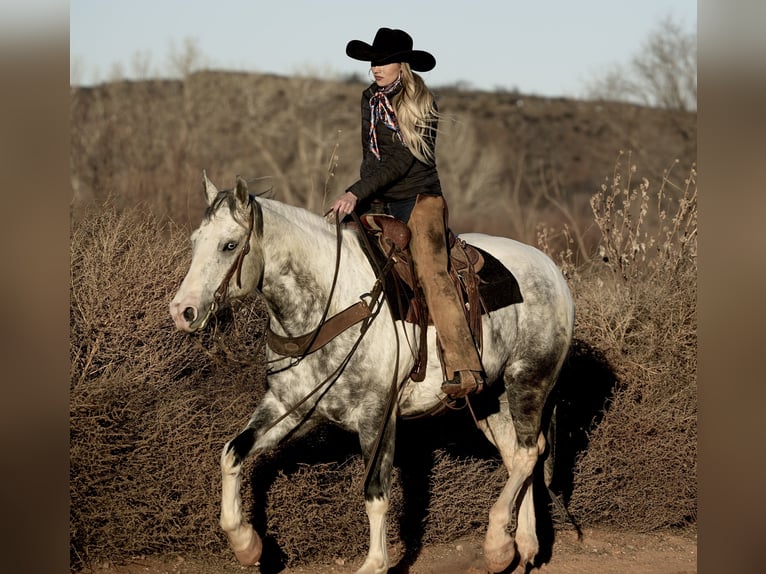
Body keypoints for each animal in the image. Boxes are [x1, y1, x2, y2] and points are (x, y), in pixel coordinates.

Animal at [170, 173, 576, 572]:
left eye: (229, 245)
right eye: (195, 241)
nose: (182, 311)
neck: (330, 304)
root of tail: (552, 270)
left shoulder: (377, 415)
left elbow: (375, 494)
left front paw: (376, 563)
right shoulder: (290, 408)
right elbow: (232, 452)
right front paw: (246, 545)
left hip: (528, 380)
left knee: (528, 454)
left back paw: (496, 544)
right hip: (491, 398)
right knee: (516, 455)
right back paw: (521, 546)